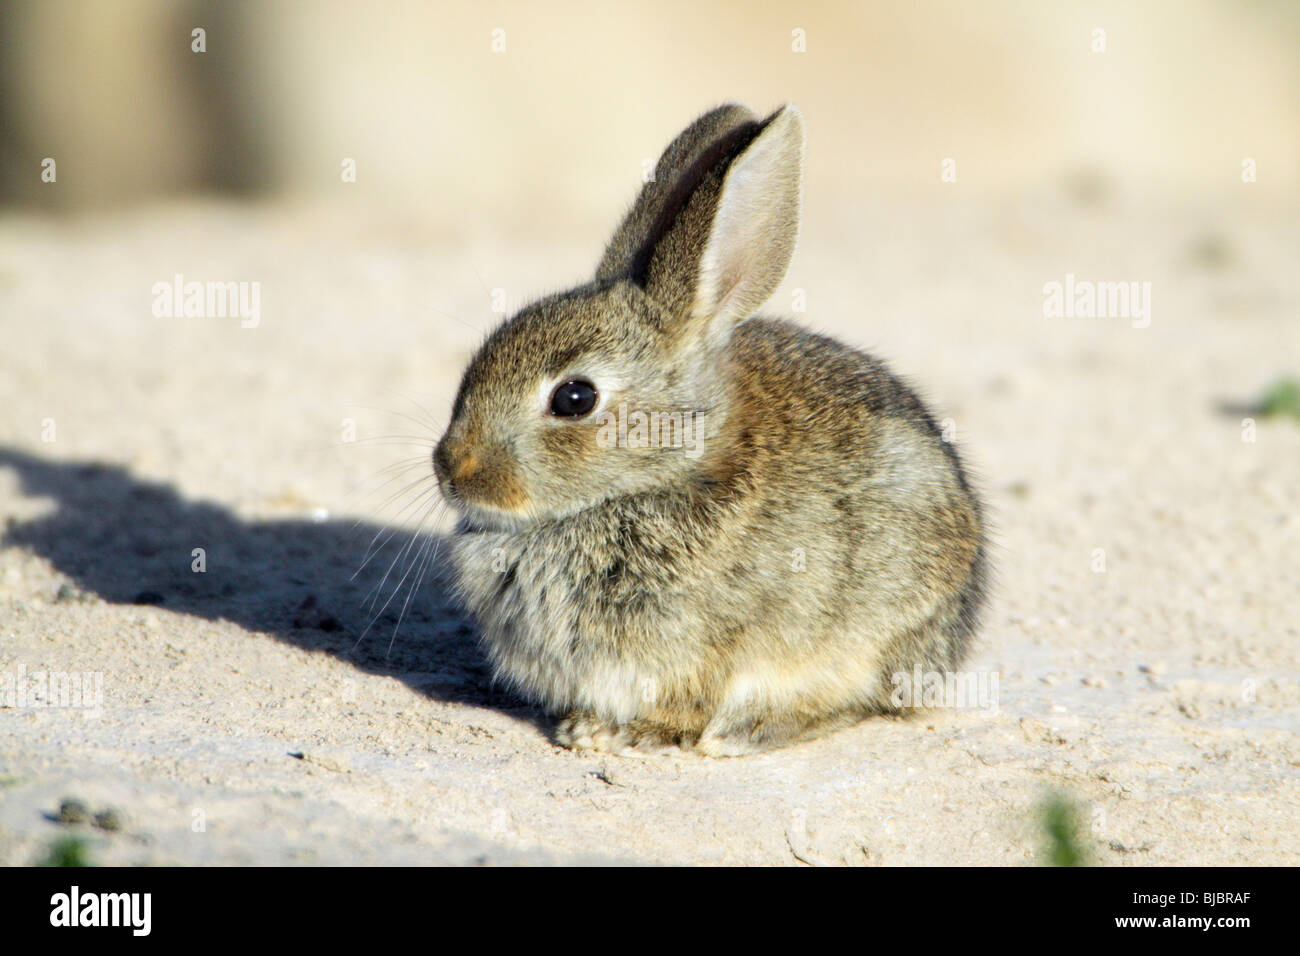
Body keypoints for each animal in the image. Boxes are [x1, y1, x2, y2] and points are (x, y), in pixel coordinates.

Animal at [431, 104, 987, 759]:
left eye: (574, 398)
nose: (451, 468)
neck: (663, 472)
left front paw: (621, 733)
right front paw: (582, 727)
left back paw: (746, 732)